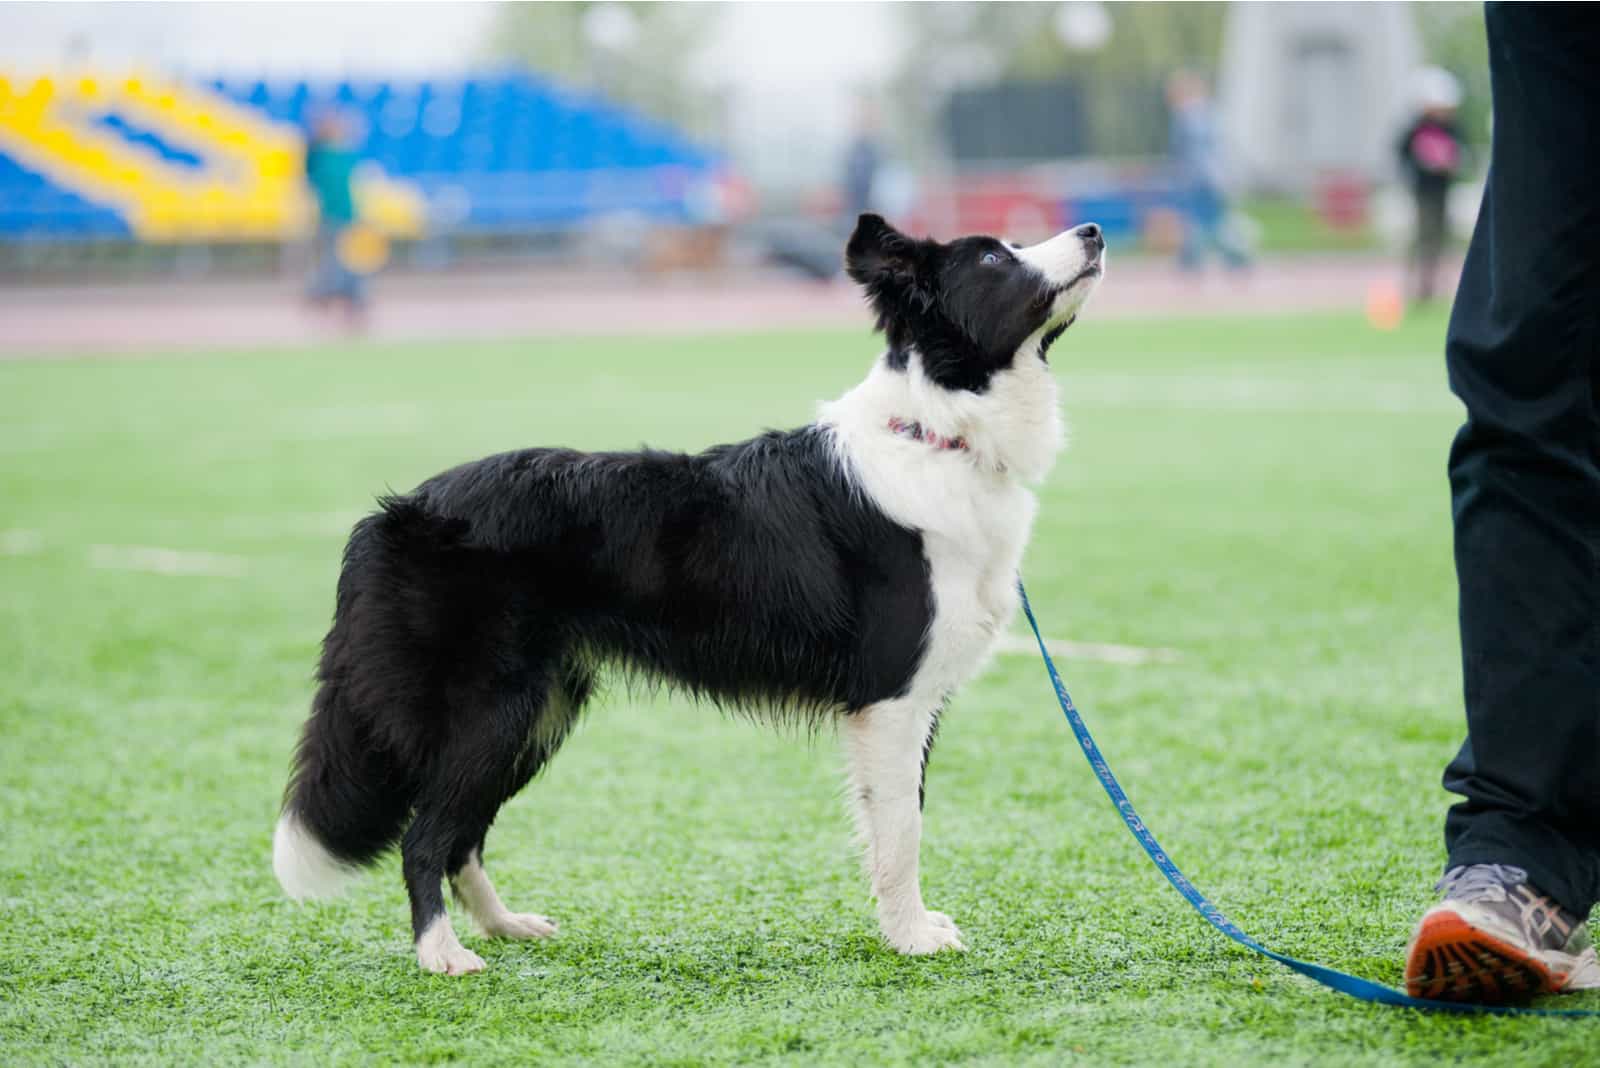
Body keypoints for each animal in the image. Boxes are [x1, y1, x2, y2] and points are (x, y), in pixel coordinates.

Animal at [272, 212, 1100, 972]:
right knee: (424, 834)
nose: (1092, 229)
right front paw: (912, 938)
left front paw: (909, 928)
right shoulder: (892, 699)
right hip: (492, 705)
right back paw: (442, 955)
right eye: (994, 258)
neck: (939, 432)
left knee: (461, 833)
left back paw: (504, 927)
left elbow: (897, 824)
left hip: (540, 709)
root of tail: (397, 510)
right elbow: (902, 832)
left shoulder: (913, 704)